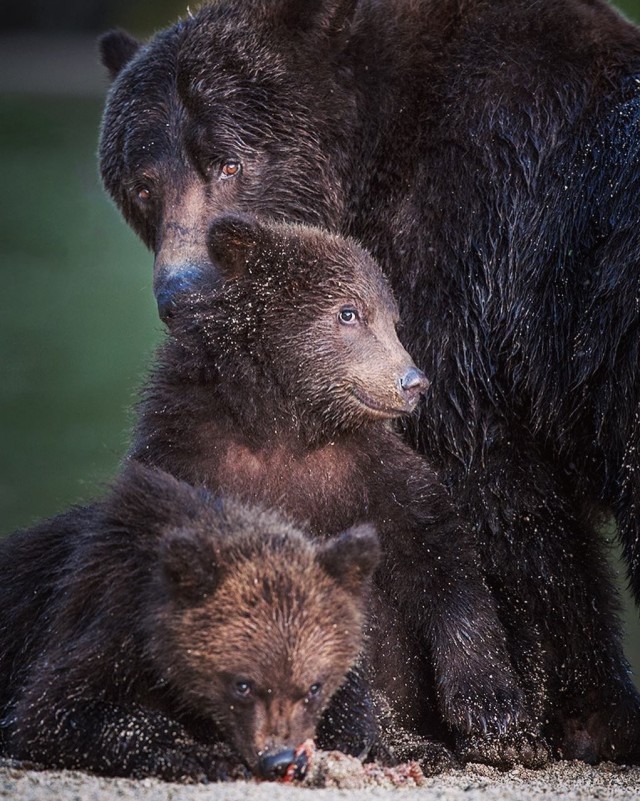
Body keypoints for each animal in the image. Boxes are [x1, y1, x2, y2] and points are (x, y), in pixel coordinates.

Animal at [97, 0, 640, 764]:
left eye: (228, 161)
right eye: (143, 184)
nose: (182, 291)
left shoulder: (467, 268)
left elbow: (497, 503)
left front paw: (555, 717)